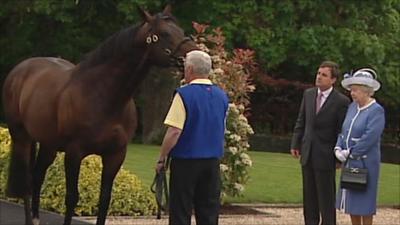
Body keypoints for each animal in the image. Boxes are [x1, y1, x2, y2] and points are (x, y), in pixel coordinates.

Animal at [2, 5, 196, 225]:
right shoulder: (74, 152)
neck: (103, 95)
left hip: (48, 144)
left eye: (179, 30)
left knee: (37, 176)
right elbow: (71, 198)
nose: (194, 54)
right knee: (26, 181)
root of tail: (21, 69)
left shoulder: (115, 155)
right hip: (22, 137)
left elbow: (104, 200)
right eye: (164, 33)